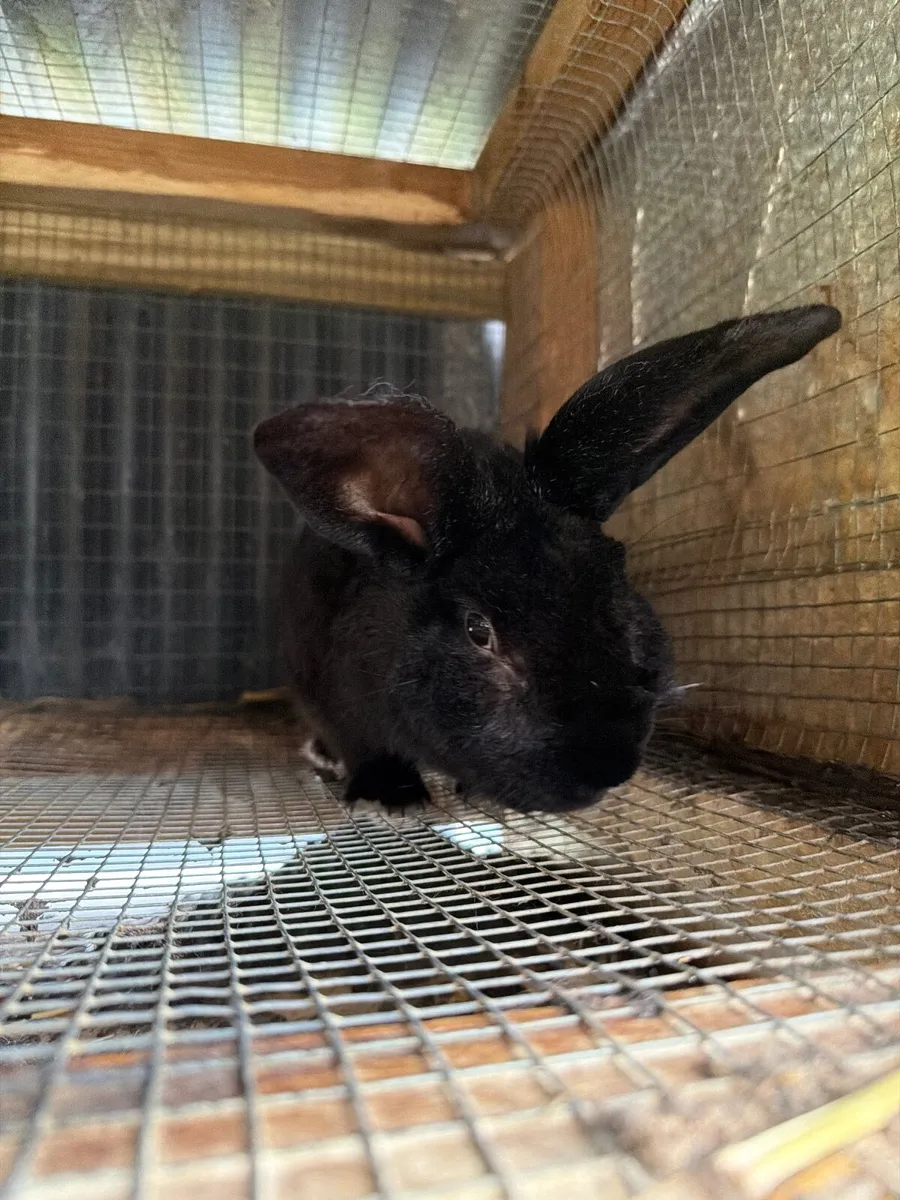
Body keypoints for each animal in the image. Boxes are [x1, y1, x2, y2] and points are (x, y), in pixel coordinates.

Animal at [253, 304, 841, 814]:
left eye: (619, 589)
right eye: (478, 631)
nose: (608, 767)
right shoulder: (343, 700)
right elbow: (367, 747)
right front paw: (391, 797)